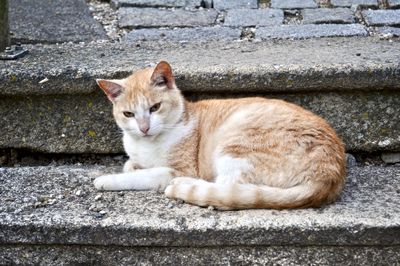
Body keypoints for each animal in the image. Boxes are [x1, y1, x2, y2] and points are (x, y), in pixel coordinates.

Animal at [94, 60, 346, 210]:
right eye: (128, 114)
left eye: (155, 108)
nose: (144, 127)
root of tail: (329, 174)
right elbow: (131, 165)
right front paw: (133, 165)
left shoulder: (179, 168)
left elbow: (140, 175)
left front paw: (105, 180)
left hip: (234, 144)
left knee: (226, 187)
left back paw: (183, 185)